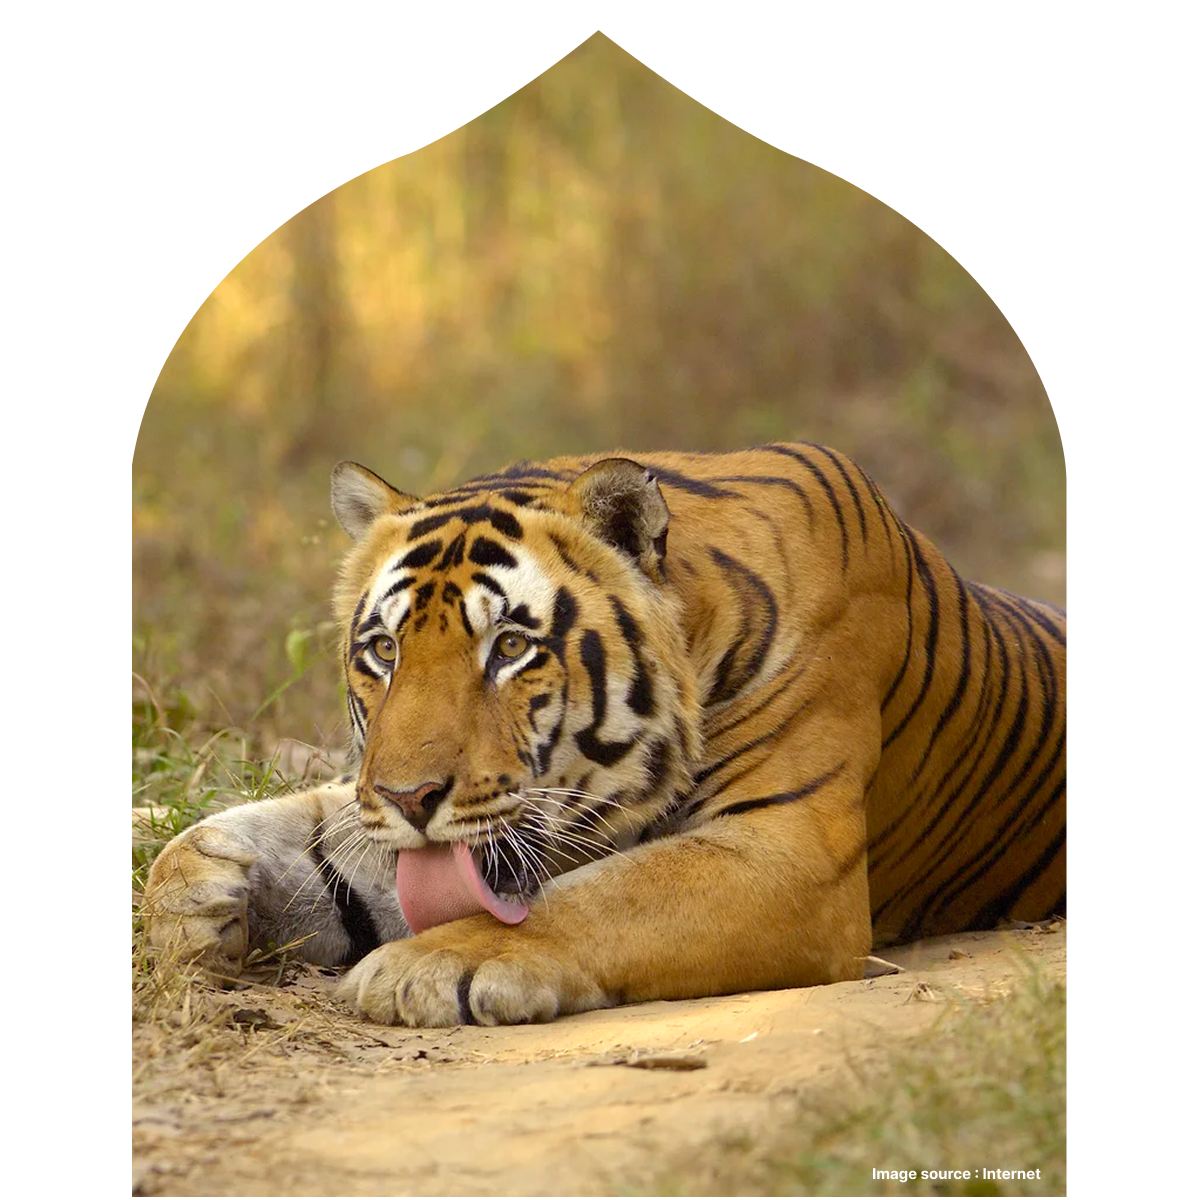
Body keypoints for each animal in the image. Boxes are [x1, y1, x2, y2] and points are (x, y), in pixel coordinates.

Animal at [144, 443, 1067, 1026]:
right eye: (384, 651)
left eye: (508, 648)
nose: (411, 798)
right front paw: (193, 898)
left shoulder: (788, 852)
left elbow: (598, 899)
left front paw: (421, 968)